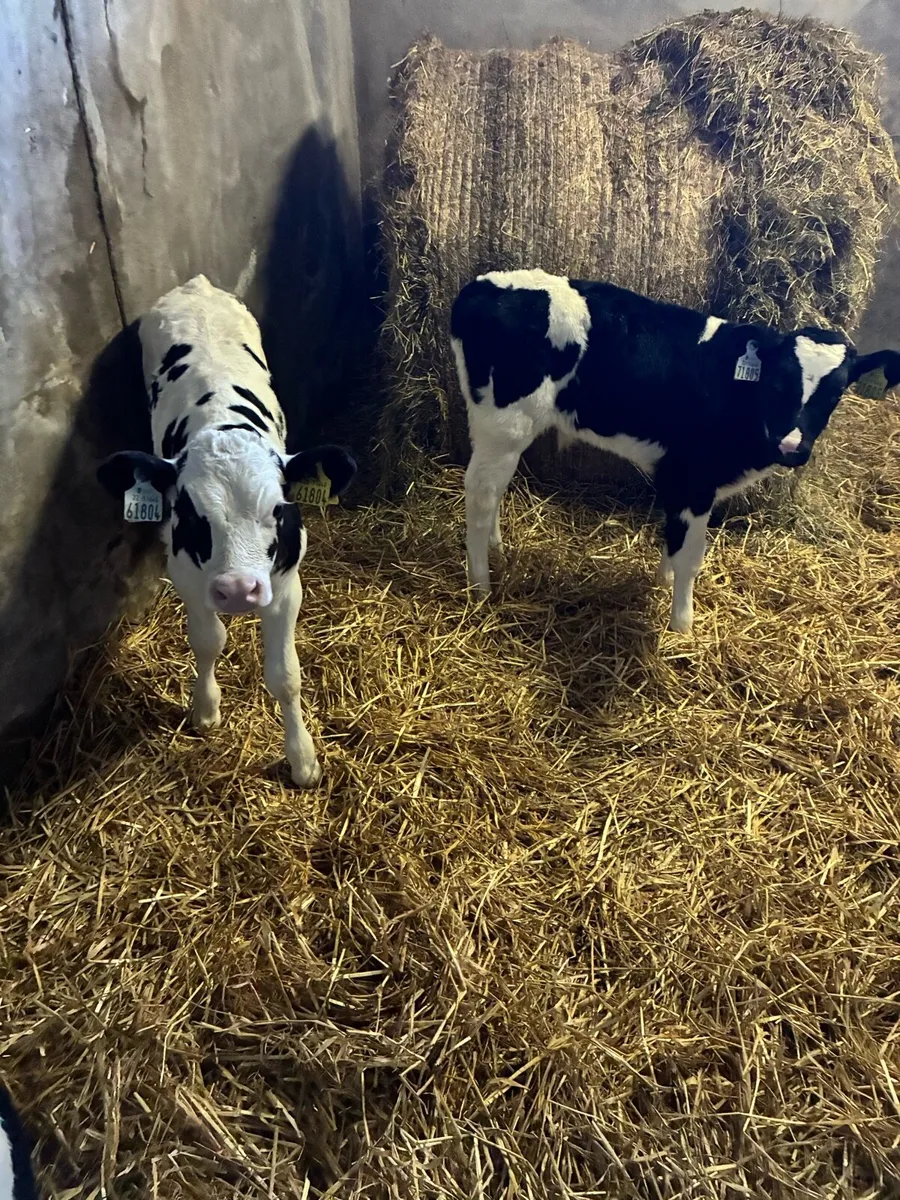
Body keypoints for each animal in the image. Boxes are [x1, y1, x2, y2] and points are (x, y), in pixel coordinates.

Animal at [98, 275, 356, 786]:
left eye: (278, 510)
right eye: (191, 513)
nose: (238, 589)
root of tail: (195, 285)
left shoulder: (287, 584)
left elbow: (284, 676)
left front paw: (302, 759)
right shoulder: (186, 577)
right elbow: (207, 641)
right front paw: (205, 708)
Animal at [450, 268, 900, 632]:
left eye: (836, 393)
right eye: (778, 381)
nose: (791, 447)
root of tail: (479, 287)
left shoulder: (676, 474)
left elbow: (673, 538)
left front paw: (662, 583)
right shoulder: (694, 478)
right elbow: (690, 555)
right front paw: (682, 628)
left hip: (494, 426)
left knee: (493, 488)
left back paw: (496, 552)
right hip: (506, 423)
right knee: (480, 493)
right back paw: (480, 586)